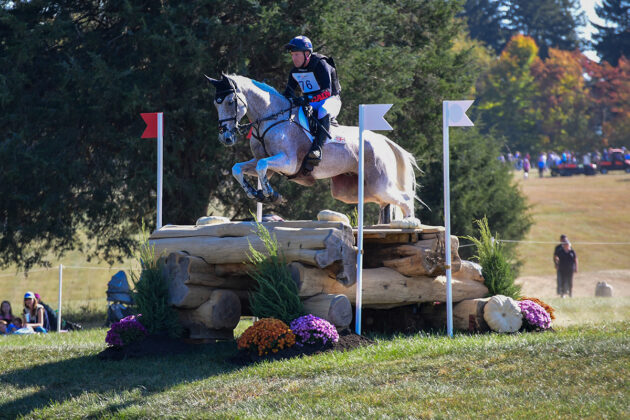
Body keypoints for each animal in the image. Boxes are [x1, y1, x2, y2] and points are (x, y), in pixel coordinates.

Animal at [209, 75, 424, 226]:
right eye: (215, 104)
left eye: (230, 102)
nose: (226, 137)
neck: (271, 118)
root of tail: (383, 140)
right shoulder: (266, 165)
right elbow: (238, 168)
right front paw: (254, 193)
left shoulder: (288, 162)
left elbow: (262, 165)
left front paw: (270, 195)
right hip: (354, 190)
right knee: (384, 201)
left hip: (379, 183)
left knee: (405, 199)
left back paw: (410, 223)